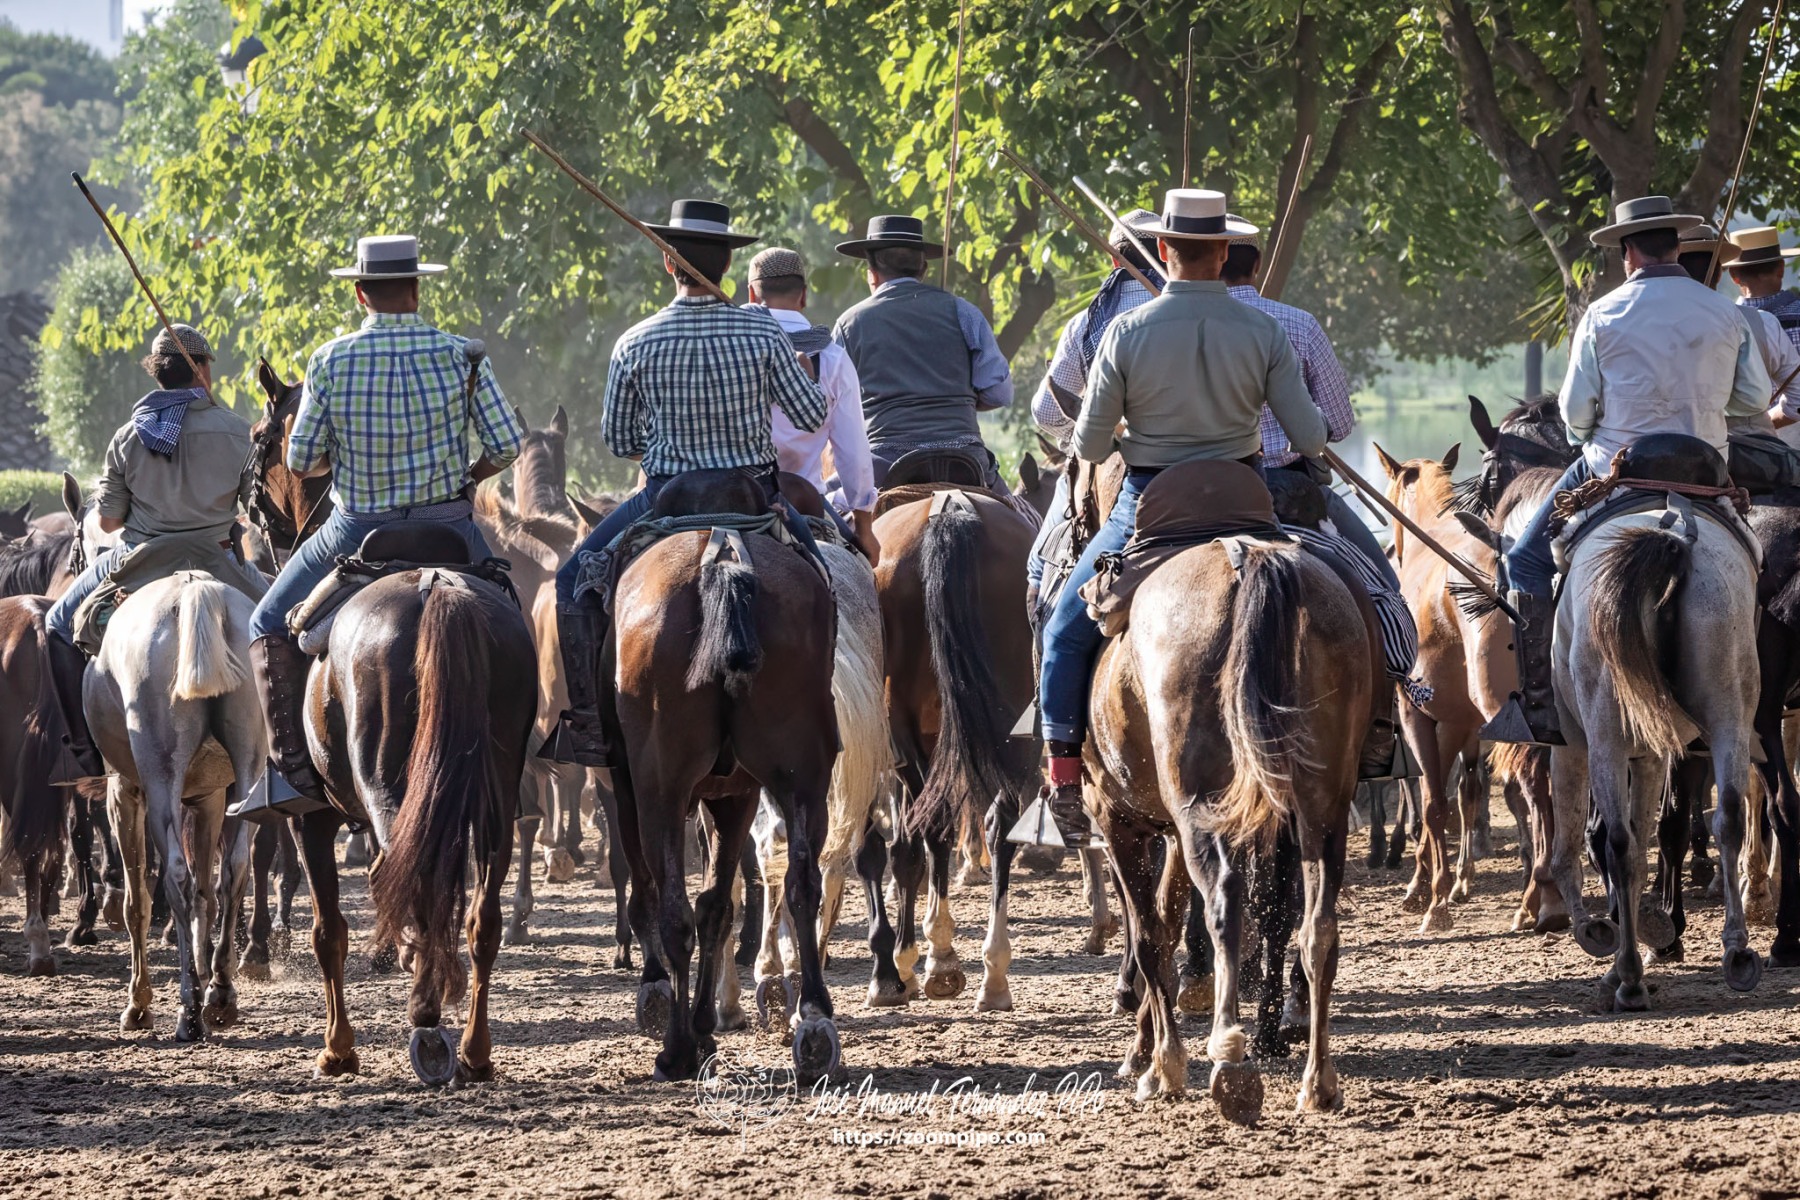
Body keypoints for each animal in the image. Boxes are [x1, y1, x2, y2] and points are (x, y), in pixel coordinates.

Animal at [604, 470, 841, 1084]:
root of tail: (723, 556)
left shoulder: (629, 786)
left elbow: (663, 892)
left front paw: (668, 1004)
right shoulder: (736, 793)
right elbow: (718, 902)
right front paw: (706, 1020)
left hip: (659, 786)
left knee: (672, 910)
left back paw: (676, 1049)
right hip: (801, 775)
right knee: (801, 882)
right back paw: (814, 1024)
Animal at [1087, 524, 1371, 1118]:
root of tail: (1250, 560)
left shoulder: (1119, 820)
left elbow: (1149, 936)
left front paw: (1161, 1065)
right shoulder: (1172, 833)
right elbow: (1167, 923)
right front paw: (1144, 1047)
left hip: (1202, 809)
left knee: (1223, 903)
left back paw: (1231, 1059)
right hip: (1321, 812)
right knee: (1317, 929)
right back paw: (1318, 1080)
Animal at [1549, 437, 1763, 1010]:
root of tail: (1673, 535)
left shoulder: (1575, 741)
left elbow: (1574, 845)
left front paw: (1597, 934)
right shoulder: (1649, 751)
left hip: (1603, 732)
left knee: (1619, 842)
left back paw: (1626, 975)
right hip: (1729, 711)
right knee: (1727, 816)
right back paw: (1736, 953)